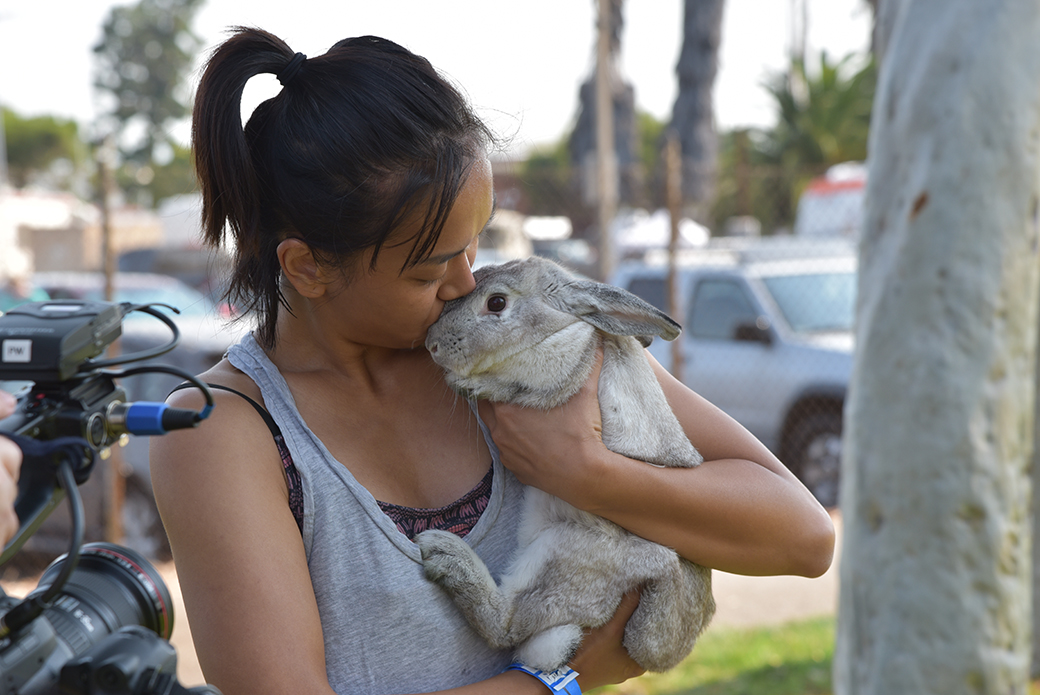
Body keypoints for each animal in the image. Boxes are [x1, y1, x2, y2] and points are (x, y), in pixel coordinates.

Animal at [413, 254, 715, 674]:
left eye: (497, 303)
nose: (433, 345)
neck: (567, 325)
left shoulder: (563, 363)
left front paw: (471, 385)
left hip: (564, 550)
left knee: (506, 625)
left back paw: (446, 553)